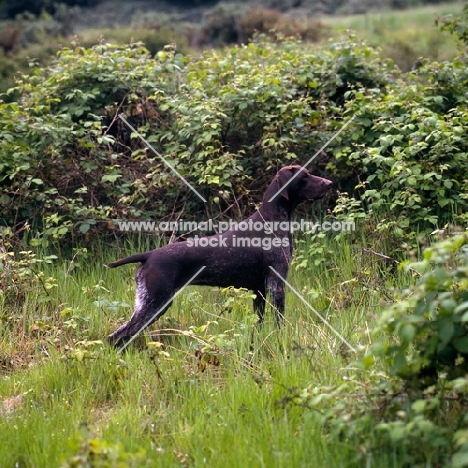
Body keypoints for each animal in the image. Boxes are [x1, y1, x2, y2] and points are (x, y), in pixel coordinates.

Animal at [106, 165, 332, 348]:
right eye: (305, 176)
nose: (330, 183)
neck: (273, 220)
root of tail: (149, 254)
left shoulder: (259, 290)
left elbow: (259, 323)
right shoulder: (276, 285)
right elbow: (279, 322)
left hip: (147, 302)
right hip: (155, 303)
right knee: (118, 336)